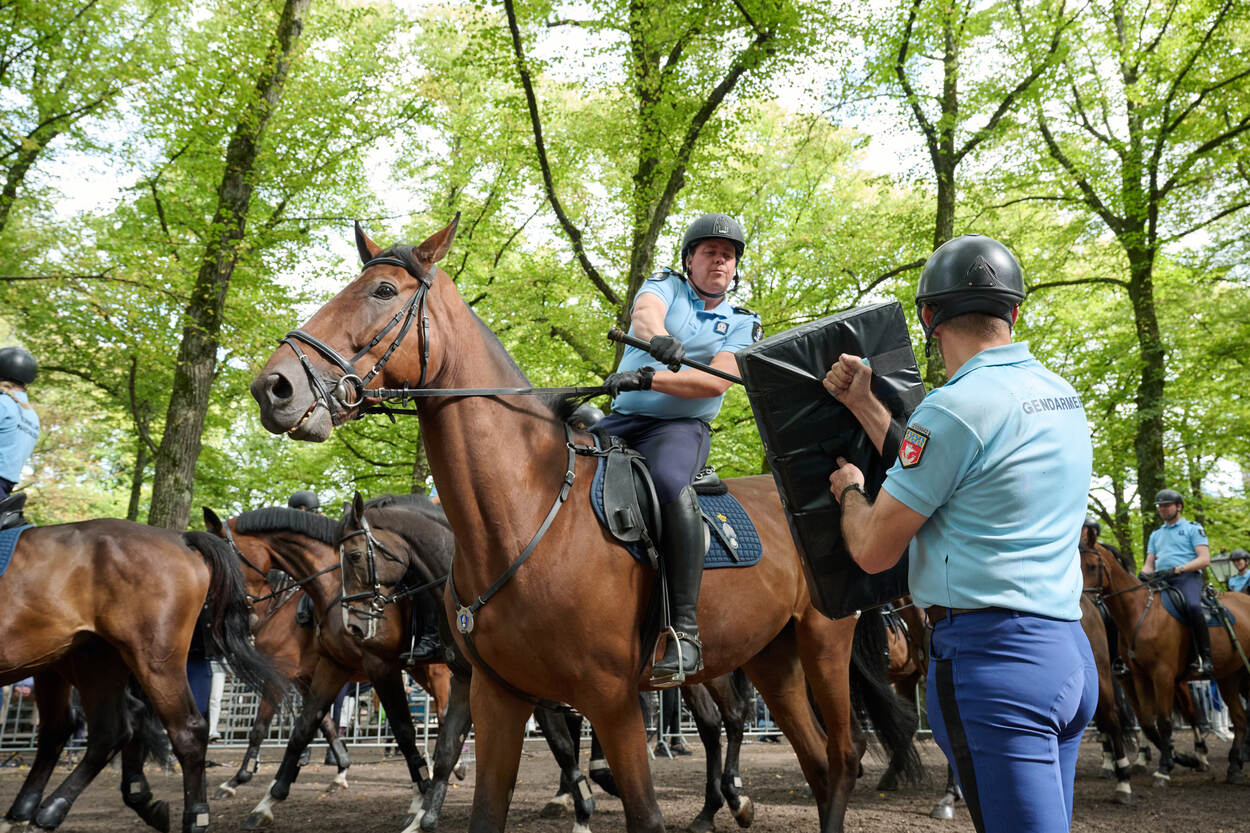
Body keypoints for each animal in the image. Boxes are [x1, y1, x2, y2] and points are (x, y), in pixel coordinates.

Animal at [0, 522, 283, 825]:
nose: (254, 613)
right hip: (82, 661)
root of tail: (178, 538)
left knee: (183, 730)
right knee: (95, 727)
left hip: (148, 660)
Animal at [251, 215, 920, 830]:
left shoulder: (613, 703)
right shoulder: (499, 697)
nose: (272, 387)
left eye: (384, 291)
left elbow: (637, 806)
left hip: (821, 645)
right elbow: (483, 791)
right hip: (770, 658)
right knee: (813, 760)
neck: (522, 519)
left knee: (841, 754)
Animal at [1075, 535, 1250, 780]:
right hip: (1229, 677)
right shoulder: (1137, 677)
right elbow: (1147, 721)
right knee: (1237, 718)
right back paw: (1231, 765)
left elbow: (1163, 720)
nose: (1081, 603)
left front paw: (1165, 766)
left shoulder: (1161, 674)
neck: (1141, 612)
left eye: (1091, 566)